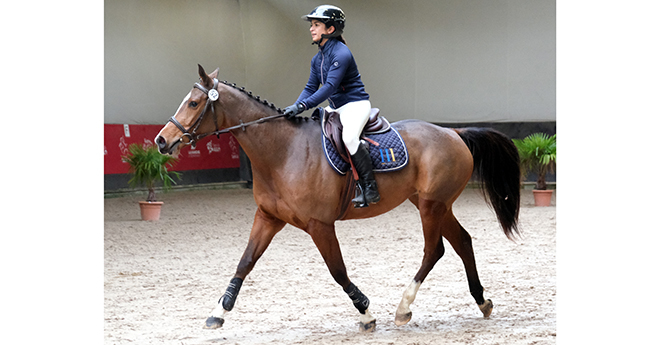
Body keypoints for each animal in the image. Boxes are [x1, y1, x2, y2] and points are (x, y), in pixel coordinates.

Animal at [155, 64, 520, 330]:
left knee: (435, 250)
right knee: (463, 242)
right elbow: (245, 262)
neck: (282, 152)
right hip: (433, 203)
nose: (161, 140)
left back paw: (403, 308)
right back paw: (482, 301)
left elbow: (337, 271)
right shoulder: (268, 218)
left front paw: (367, 315)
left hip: (432, 205)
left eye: (193, 103)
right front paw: (219, 312)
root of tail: (452, 132)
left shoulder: (320, 225)